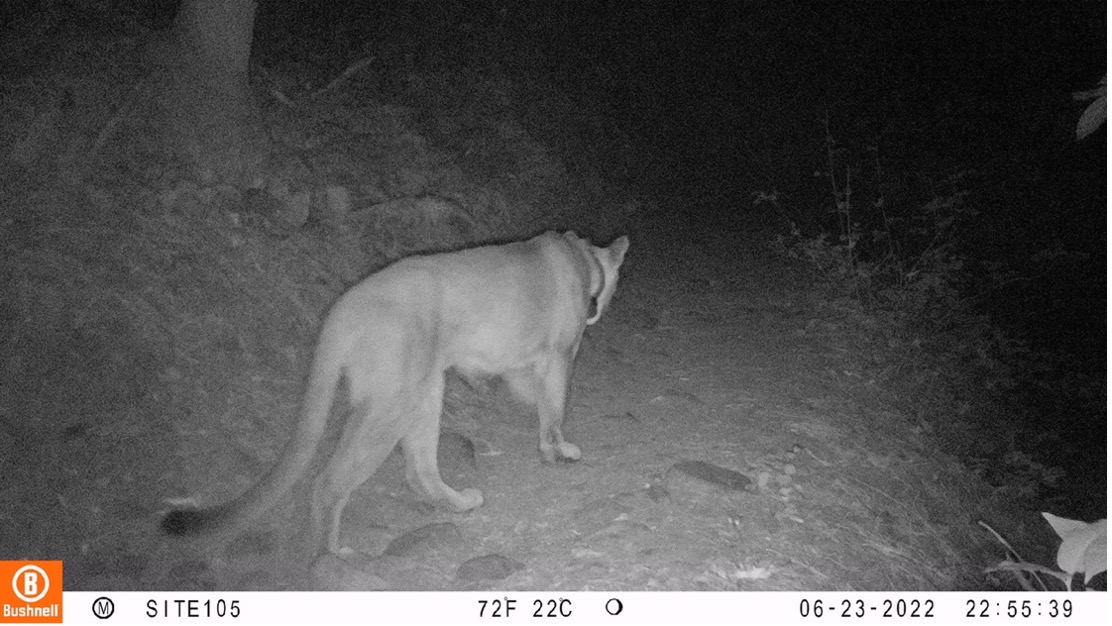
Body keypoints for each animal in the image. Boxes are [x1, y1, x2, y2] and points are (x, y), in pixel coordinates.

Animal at [161, 230, 631, 553]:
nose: (599, 312)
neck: (582, 258)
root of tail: (340, 310)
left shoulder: (520, 364)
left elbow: (534, 398)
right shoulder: (560, 355)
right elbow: (554, 408)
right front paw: (559, 450)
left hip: (424, 391)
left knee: (418, 468)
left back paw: (458, 503)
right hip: (394, 403)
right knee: (329, 483)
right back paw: (333, 557)